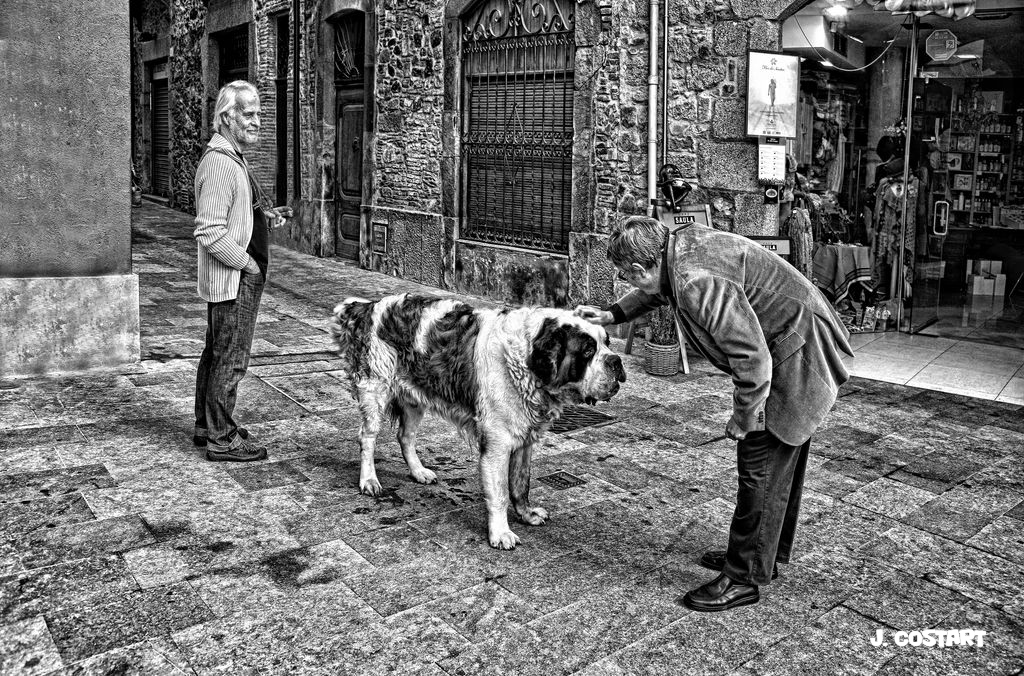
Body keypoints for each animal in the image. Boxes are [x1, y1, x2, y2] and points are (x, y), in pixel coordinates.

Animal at [327, 294, 622, 548]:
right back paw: (369, 480)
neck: (525, 361)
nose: (617, 361)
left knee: (405, 436)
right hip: (375, 390)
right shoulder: (497, 445)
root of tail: (368, 307)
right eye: (587, 351)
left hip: (414, 396)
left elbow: (521, 483)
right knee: (367, 438)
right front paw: (500, 533)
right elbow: (500, 494)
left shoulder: (525, 438)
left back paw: (418, 472)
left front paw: (527, 514)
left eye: (607, 342)